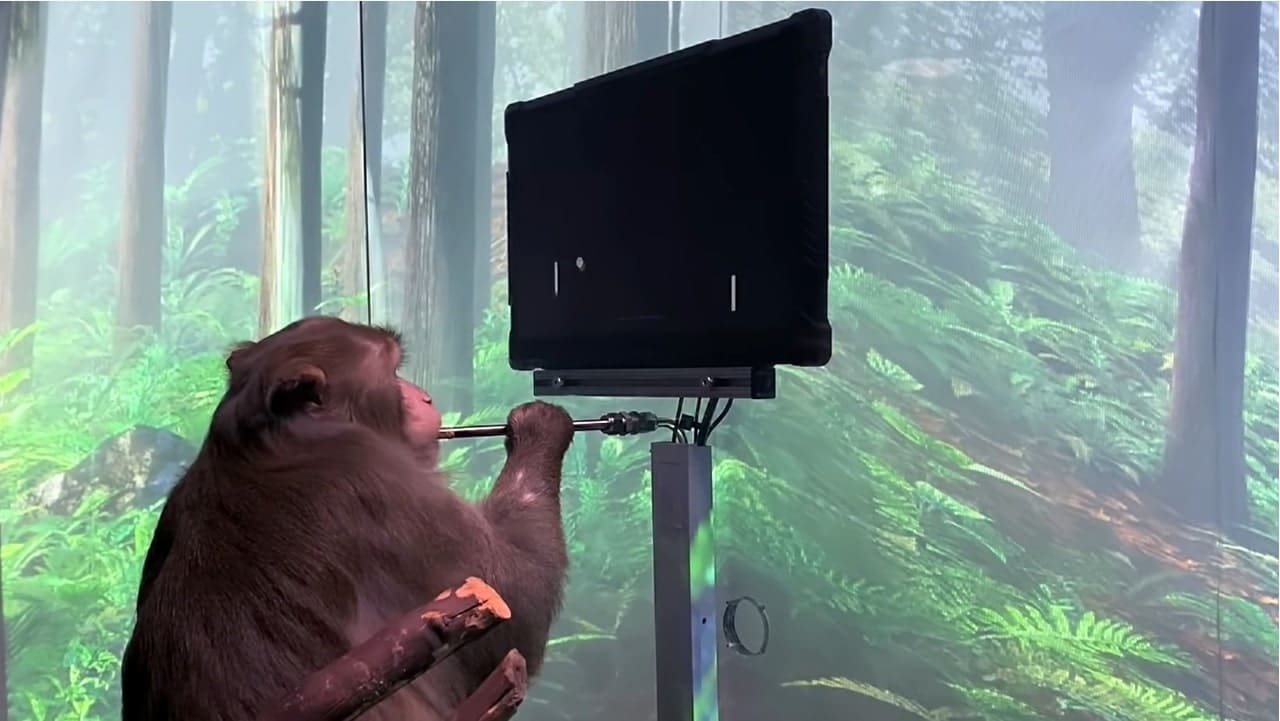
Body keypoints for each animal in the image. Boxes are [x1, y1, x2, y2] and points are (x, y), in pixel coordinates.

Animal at [120, 315, 575, 721]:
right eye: (394, 372)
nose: (425, 397)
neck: (272, 440)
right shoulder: (382, 484)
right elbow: (517, 601)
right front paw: (539, 428)